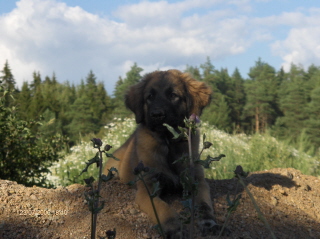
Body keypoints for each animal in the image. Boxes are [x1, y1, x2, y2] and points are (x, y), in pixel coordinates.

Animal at [104, 69, 218, 237]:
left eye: (173, 95)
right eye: (149, 97)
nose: (156, 114)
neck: (169, 143)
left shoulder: (198, 181)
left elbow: (204, 203)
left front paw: (208, 220)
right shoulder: (147, 189)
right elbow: (163, 208)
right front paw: (174, 227)